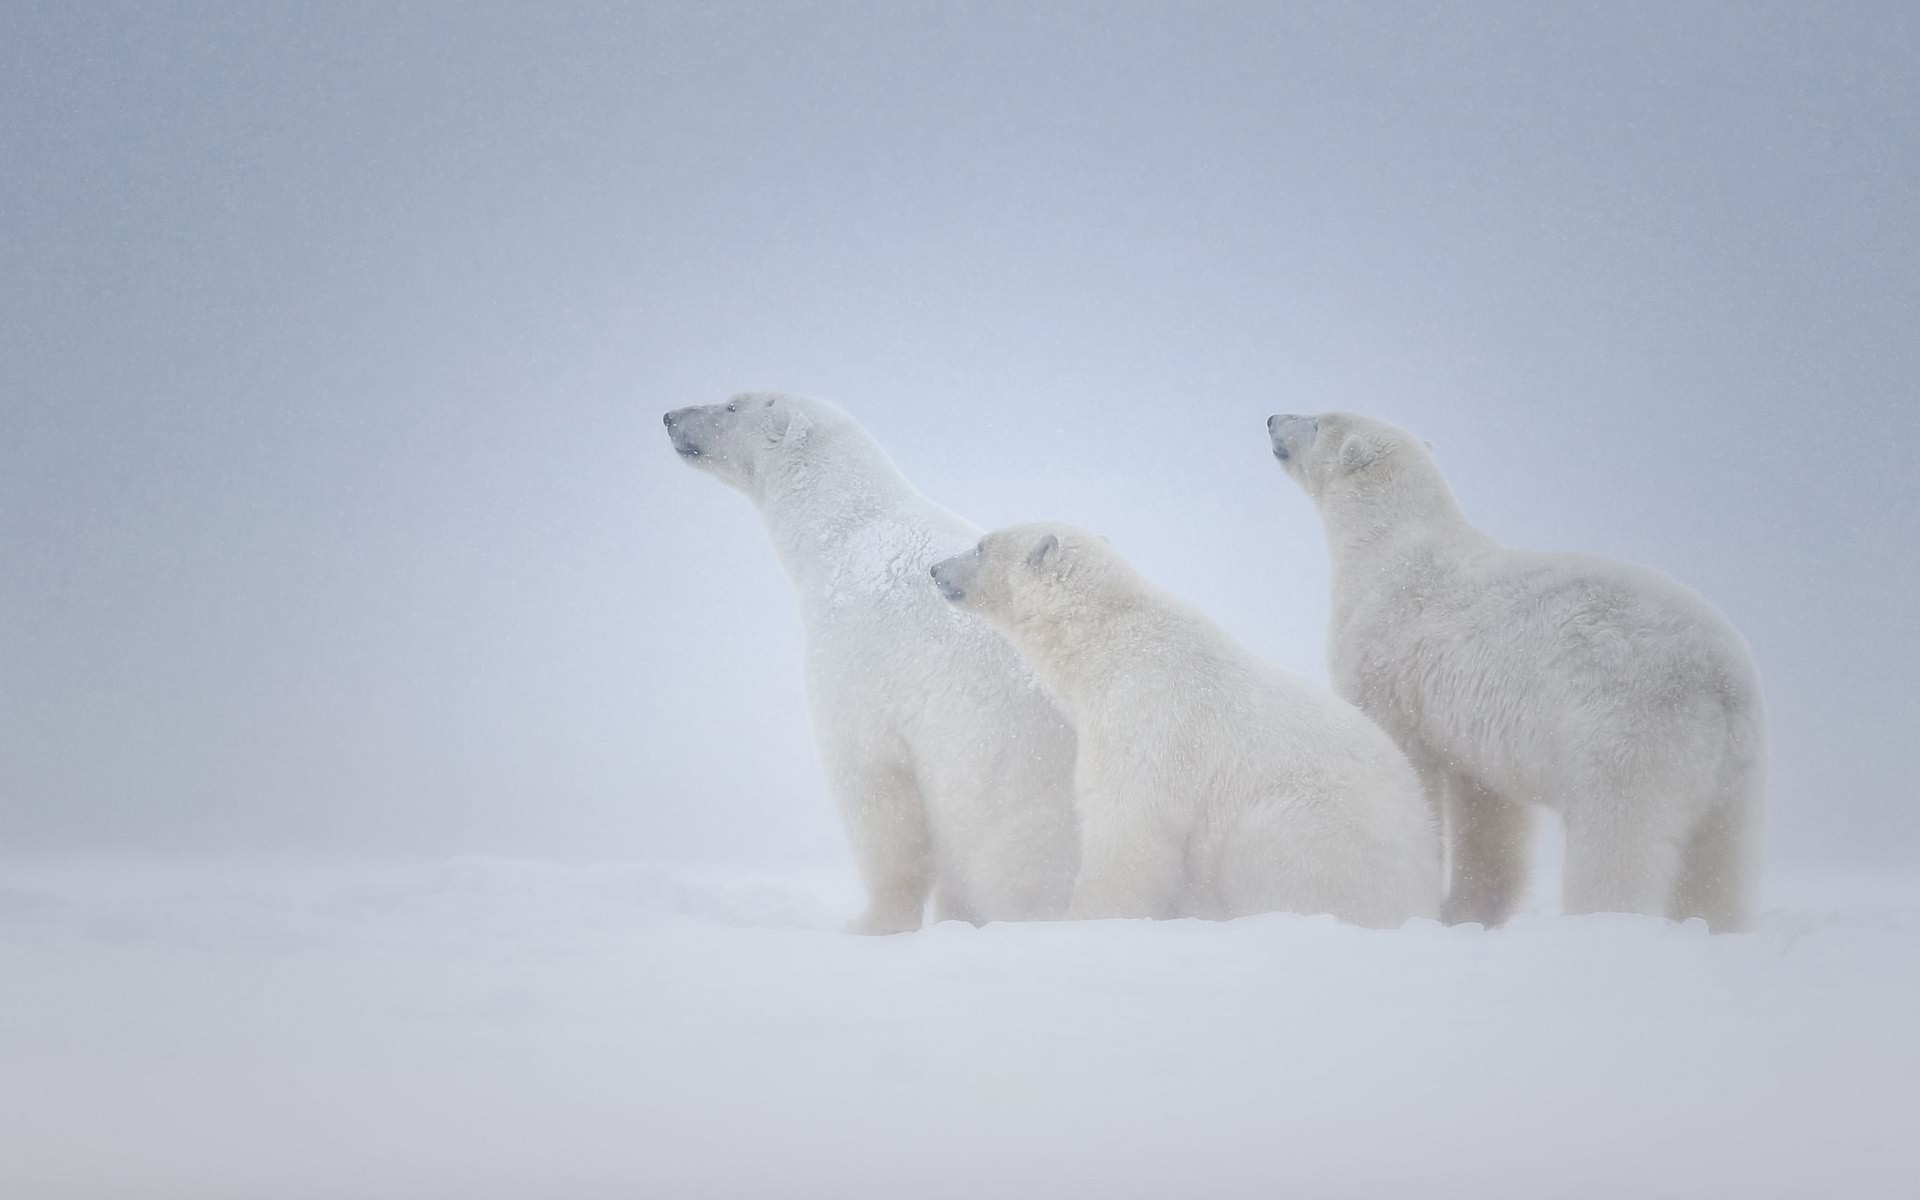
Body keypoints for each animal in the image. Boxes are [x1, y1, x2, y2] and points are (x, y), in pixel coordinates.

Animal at [660, 387, 1082, 933]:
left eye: (732, 406)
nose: (670, 416)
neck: (850, 531)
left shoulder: (862, 664)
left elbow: (877, 793)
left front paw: (871, 924)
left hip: (1030, 811)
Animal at [921, 522, 1436, 925]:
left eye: (982, 545)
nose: (936, 569)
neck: (1110, 642)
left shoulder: (1147, 714)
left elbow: (1128, 822)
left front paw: (1082, 918)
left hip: (1318, 827)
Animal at [1267, 416, 1758, 933]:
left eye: (1316, 421)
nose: (1273, 419)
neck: (1388, 542)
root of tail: (1720, 678)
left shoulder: (1385, 657)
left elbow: (1405, 755)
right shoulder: (1474, 730)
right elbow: (1490, 809)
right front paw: (1466, 911)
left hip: (1630, 730)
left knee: (1618, 837)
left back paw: (1604, 920)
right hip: (1736, 769)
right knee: (1721, 855)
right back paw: (1719, 924)